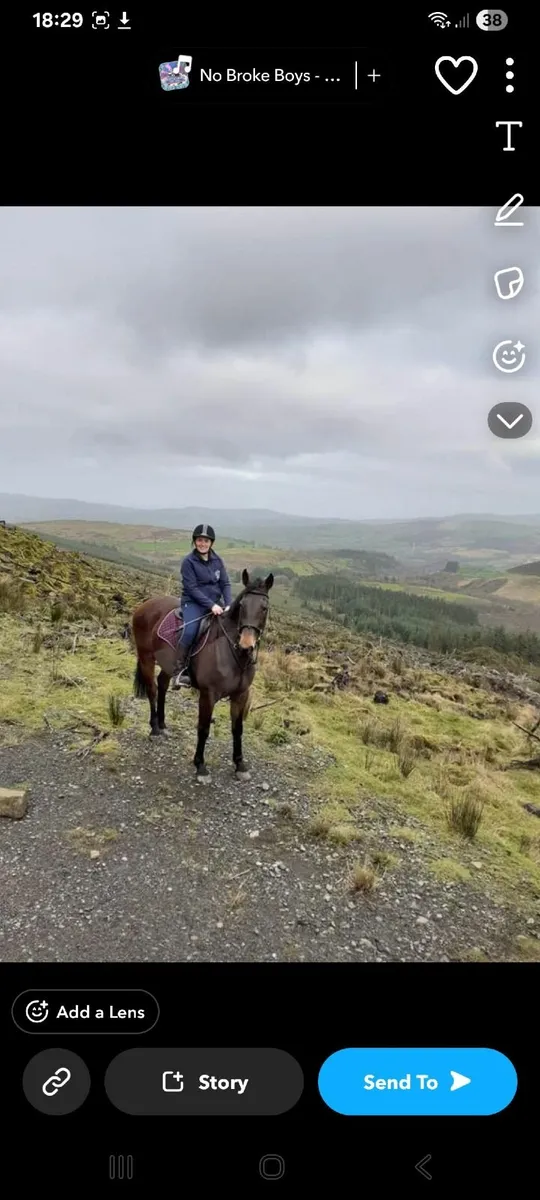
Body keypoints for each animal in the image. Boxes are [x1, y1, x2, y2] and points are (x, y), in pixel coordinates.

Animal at [131, 570, 273, 783]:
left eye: (264, 608)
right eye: (242, 606)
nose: (246, 645)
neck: (233, 653)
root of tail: (145, 604)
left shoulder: (241, 695)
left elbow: (238, 729)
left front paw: (240, 765)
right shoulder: (208, 695)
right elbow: (204, 729)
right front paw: (200, 766)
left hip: (168, 664)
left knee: (162, 684)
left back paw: (163, 725)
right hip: (146, 658)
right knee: (152, 690)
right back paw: (155, 729)